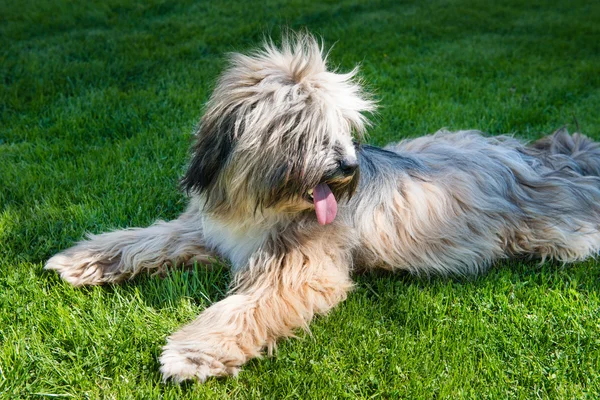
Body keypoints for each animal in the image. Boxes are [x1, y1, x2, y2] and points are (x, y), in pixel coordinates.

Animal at [44, 32, 600, 382]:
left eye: (343, 126)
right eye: (300, 128)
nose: (349, 167)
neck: (266, 204)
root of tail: (547, 158)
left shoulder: (299, 268)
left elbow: (245, 307)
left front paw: (193, 353)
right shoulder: (208, 230)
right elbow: (146, 238)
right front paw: (81, 260)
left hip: (554, 230)